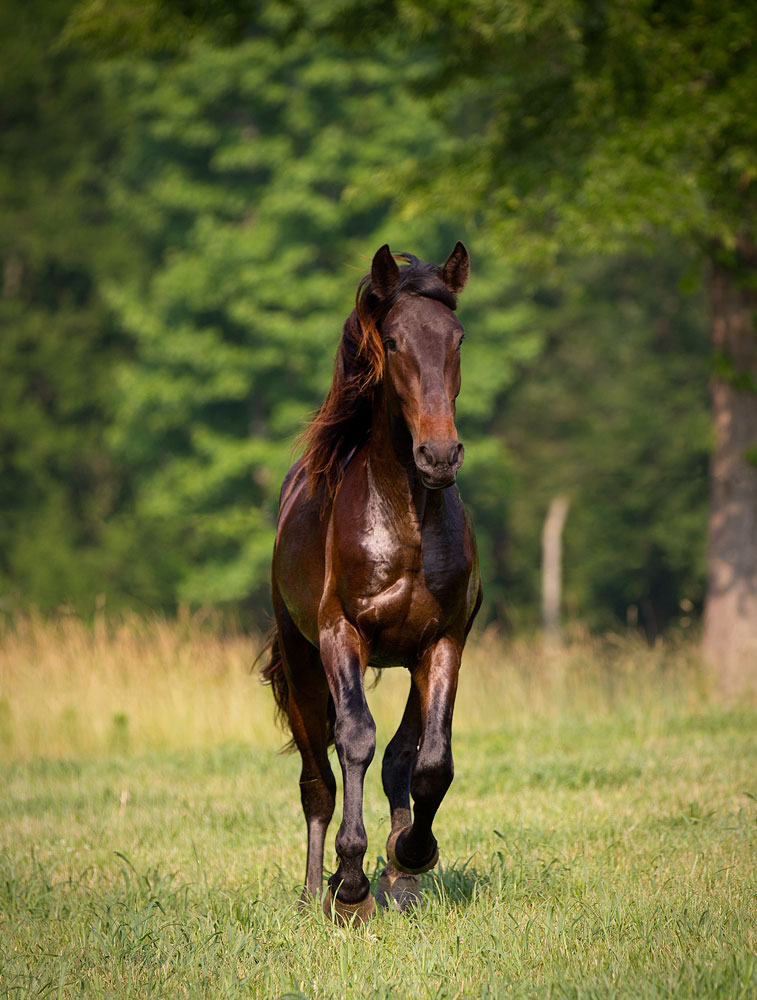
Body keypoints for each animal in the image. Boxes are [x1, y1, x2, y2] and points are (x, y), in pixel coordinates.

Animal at [262, 240, 482, 920]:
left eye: (458, 338)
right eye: (393, 339)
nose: (439, 455)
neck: (405, 520)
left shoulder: (442, 642)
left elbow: (429, 761)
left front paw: (410, 856)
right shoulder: (342, 635)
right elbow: (355, 739)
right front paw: (350, 879)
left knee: (398, 760)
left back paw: (396, 879)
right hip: (303, 663)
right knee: (319, 777)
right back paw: (317, 892)